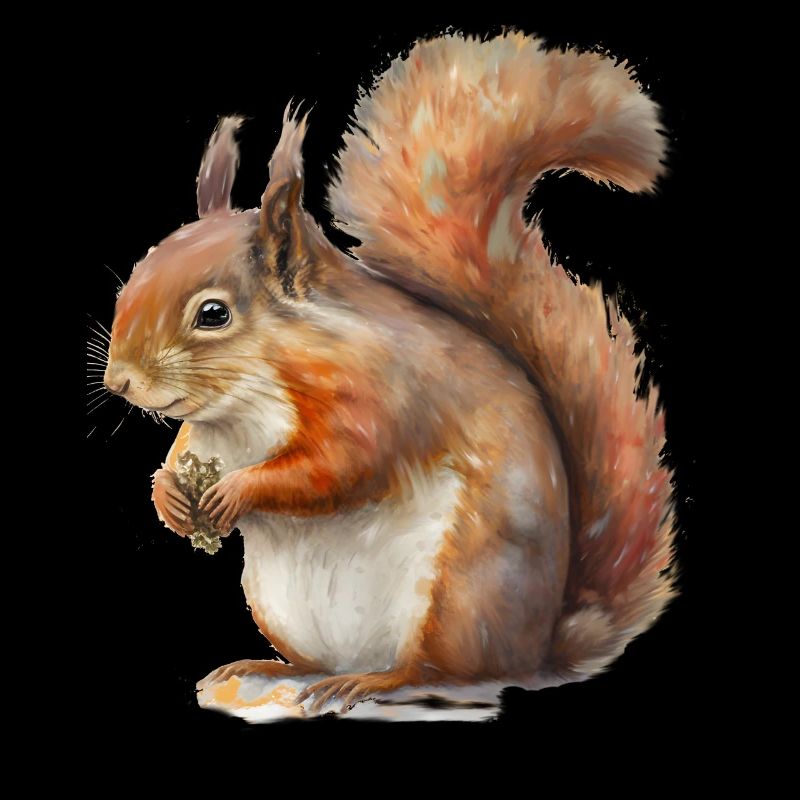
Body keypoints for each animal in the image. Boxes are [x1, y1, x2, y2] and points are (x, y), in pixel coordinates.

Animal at [104, 32, 675, 713]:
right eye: (138, 274)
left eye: (212, 314)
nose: (118, 382)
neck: (247, 402)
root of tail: (539, 647)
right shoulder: (207, 432)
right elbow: (181, 448)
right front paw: (168, 494)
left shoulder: (379, 396)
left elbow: (339, 465)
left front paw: (235, 492)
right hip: (279, 605)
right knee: (318, 659)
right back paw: (266, 667)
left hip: (462, 591)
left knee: (445, 672)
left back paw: (376, 681)